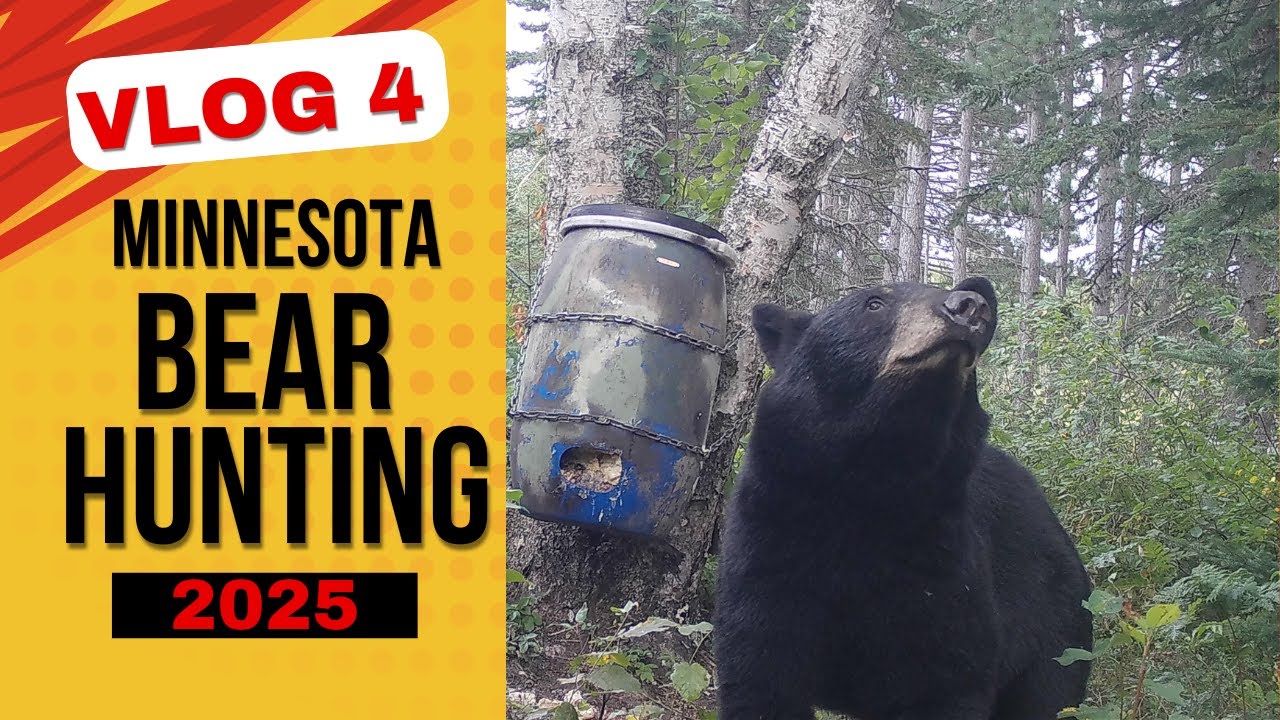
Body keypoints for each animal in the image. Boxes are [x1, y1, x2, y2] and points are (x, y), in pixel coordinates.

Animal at [713, 277, 1093, 720]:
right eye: (874, 303)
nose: (970, 306)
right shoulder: (769, 541)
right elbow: (759, 676)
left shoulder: (939, 564)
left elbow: (945, 677)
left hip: (1056, 629)